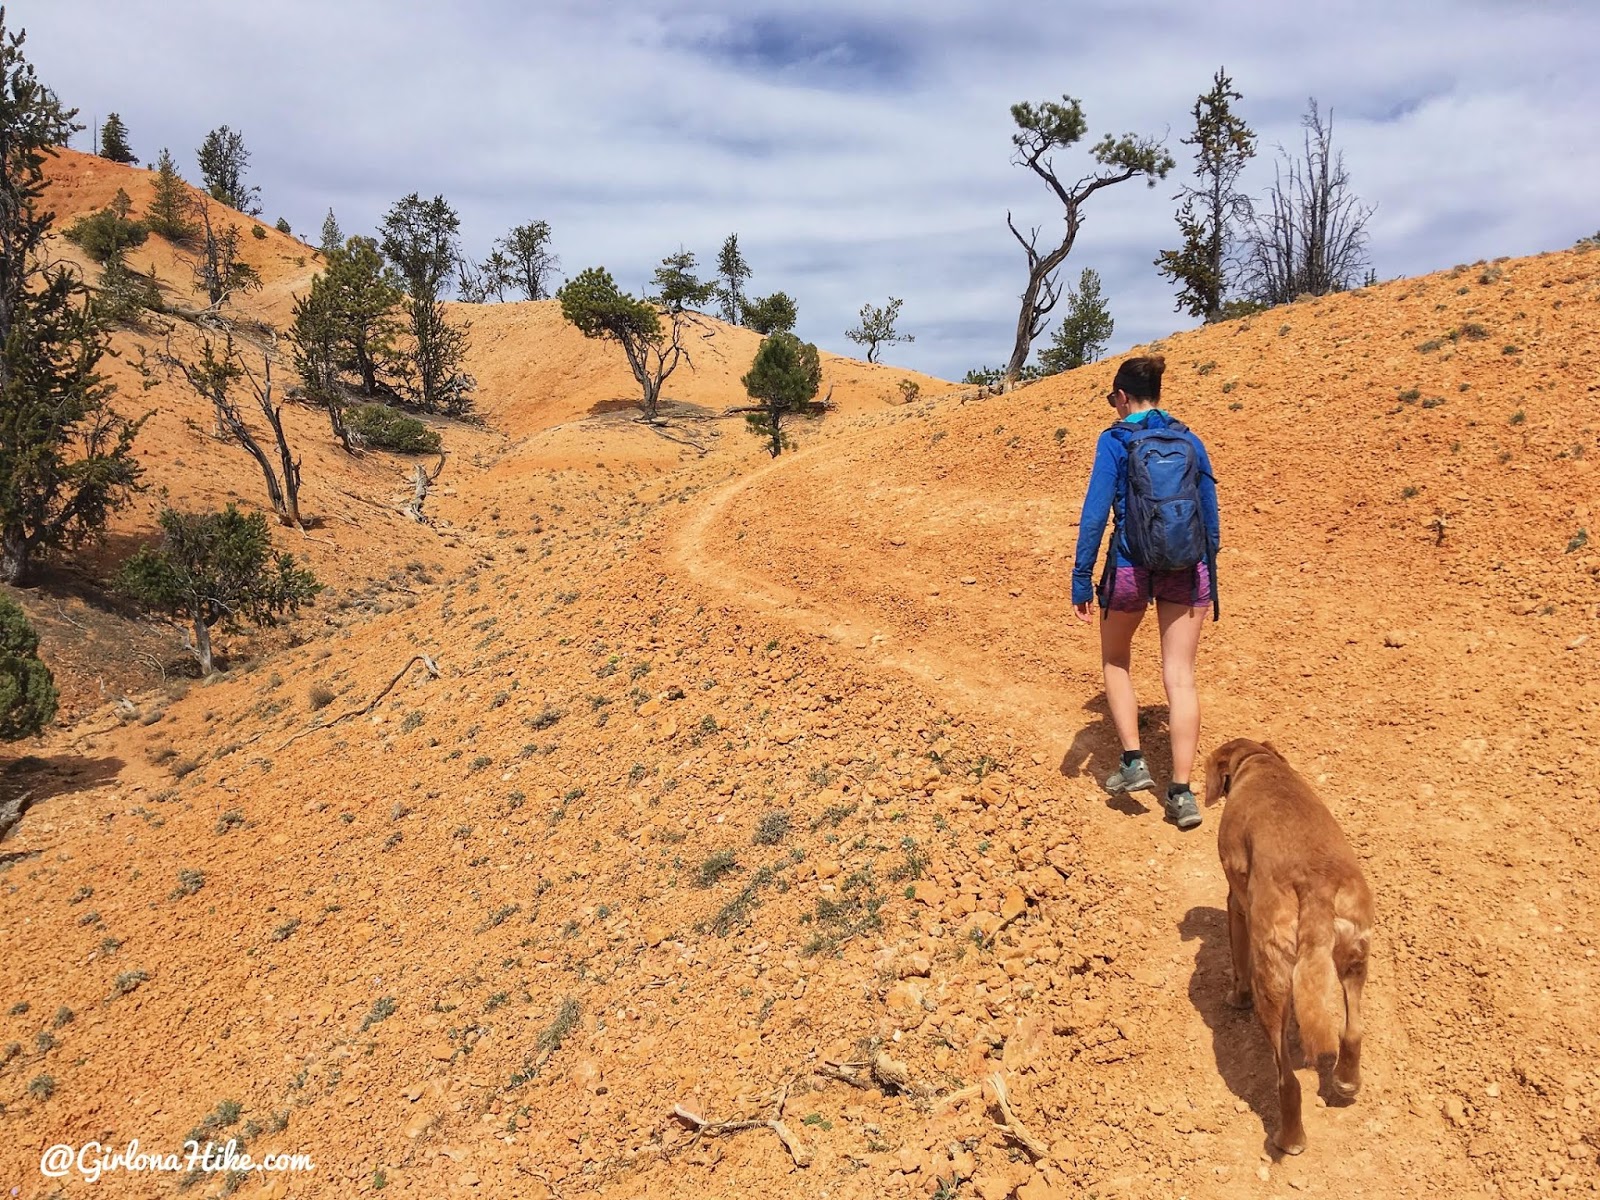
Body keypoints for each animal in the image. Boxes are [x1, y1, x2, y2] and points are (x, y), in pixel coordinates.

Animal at [1203, 739, 1369, 1158]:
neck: (1260, 764)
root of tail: (1316, 888)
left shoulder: (1235, 902)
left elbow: (1237, 965)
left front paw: (1236, 998)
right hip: (1356, 956)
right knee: (1352, 1031)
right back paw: (1346, 1081)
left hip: (1273, 983)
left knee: (1288, 1082)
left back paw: (1289, 1140)